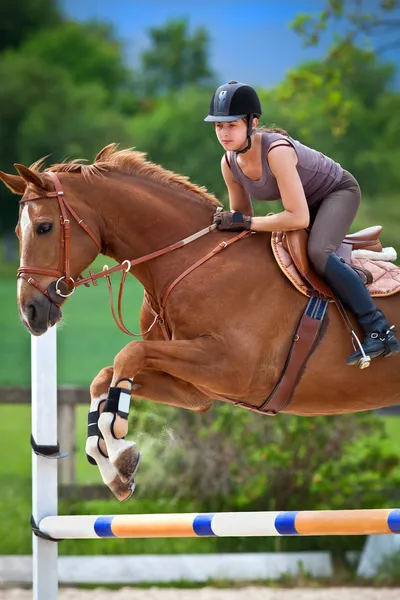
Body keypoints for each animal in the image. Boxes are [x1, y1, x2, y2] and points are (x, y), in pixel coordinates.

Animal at [0, 145, 400, 502]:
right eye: (17, 233)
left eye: (44, 227)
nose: (29, 311)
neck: (187, 260)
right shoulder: (196, 389)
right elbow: (106, 376)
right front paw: (116, 466)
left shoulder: (234, 370)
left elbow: (130, 354)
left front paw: (118, 438)